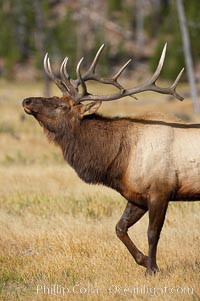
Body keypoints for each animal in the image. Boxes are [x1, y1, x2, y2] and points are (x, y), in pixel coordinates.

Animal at [23, 42, 198, 274]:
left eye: (62, 106)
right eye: (56, 99)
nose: (27, 100)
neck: (120, 162)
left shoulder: (161, 191)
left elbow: (153, 234)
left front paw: (152, 270)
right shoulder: (137, 195)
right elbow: (119, 228)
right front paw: (143, 260)